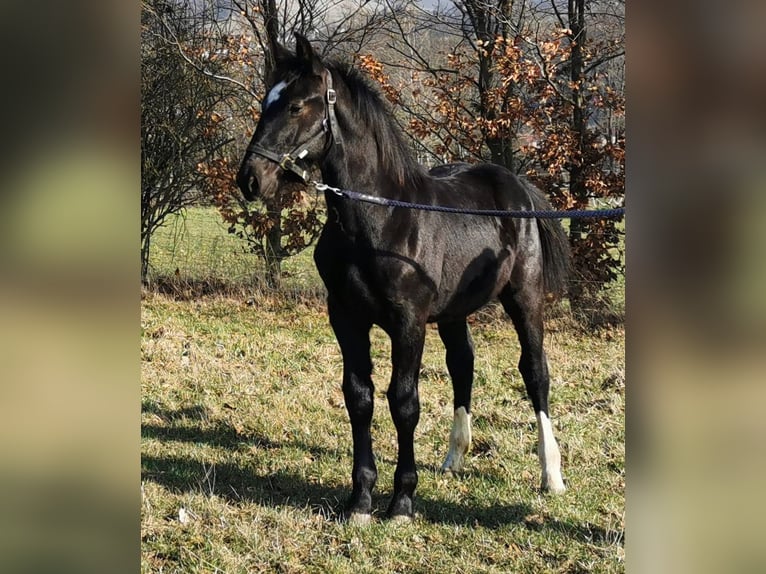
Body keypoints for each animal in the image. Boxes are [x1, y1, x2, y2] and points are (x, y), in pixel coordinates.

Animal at [237, 33, 572, 524]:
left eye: (297, 106)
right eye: (267, 102)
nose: (250, 179)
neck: (380, 220)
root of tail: (518, 188)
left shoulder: (408, 321)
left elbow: (403, 402)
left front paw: (402, 501)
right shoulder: (346, 317)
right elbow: (359, 397)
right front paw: (360, 499)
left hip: (524, 297)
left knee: (534, 371)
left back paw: (551, 475)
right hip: (453, 311)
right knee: (463, 364)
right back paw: (454, 458)